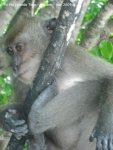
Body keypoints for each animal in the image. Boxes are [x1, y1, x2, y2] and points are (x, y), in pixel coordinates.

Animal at [1, 11, 113, 150]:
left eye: (19, 48)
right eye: (10, 51)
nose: (14, 66)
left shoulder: (73, 57)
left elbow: (109, 76)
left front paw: (104, 129)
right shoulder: (19, 81)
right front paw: (6, 119)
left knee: (97, 87)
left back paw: (37, 118)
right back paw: (38, 141)